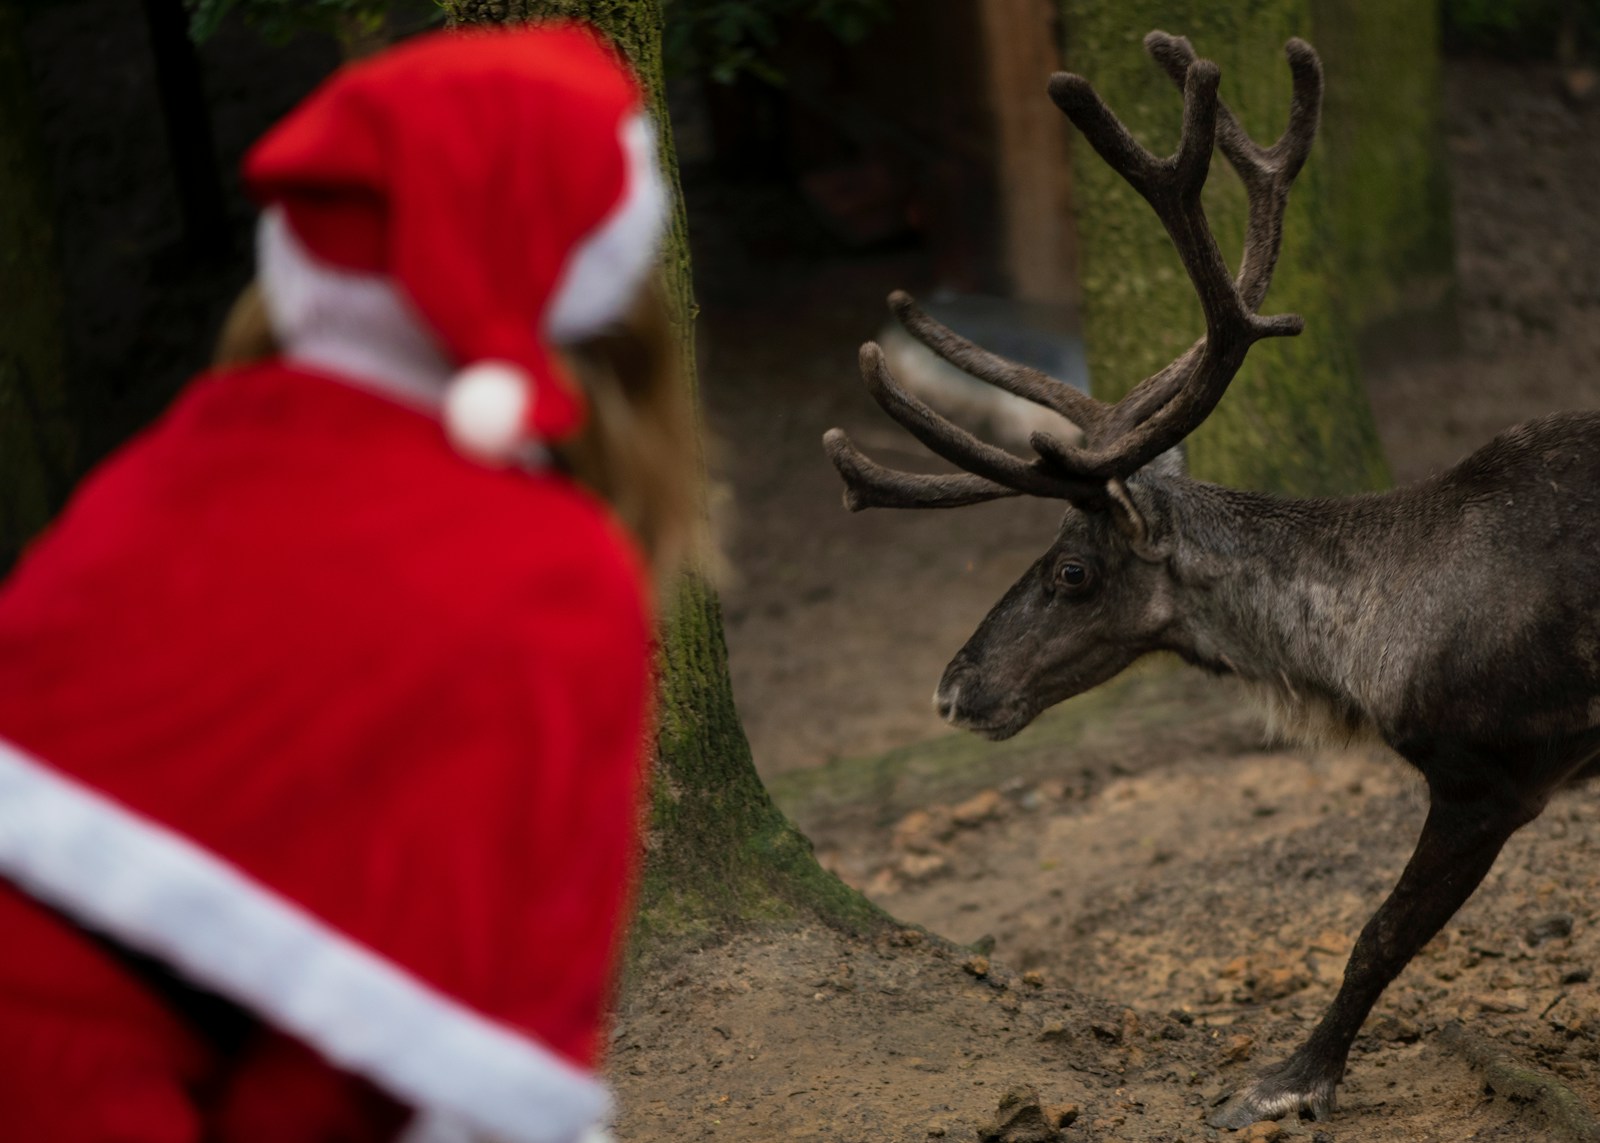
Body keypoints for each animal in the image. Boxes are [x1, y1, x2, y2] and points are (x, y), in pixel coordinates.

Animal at [822, 30, 1600, 1129]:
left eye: (1071, 569)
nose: (951, 687)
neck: (1366, 642)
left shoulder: (1494, 771)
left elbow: (1377, 933)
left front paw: (1286, 1081)